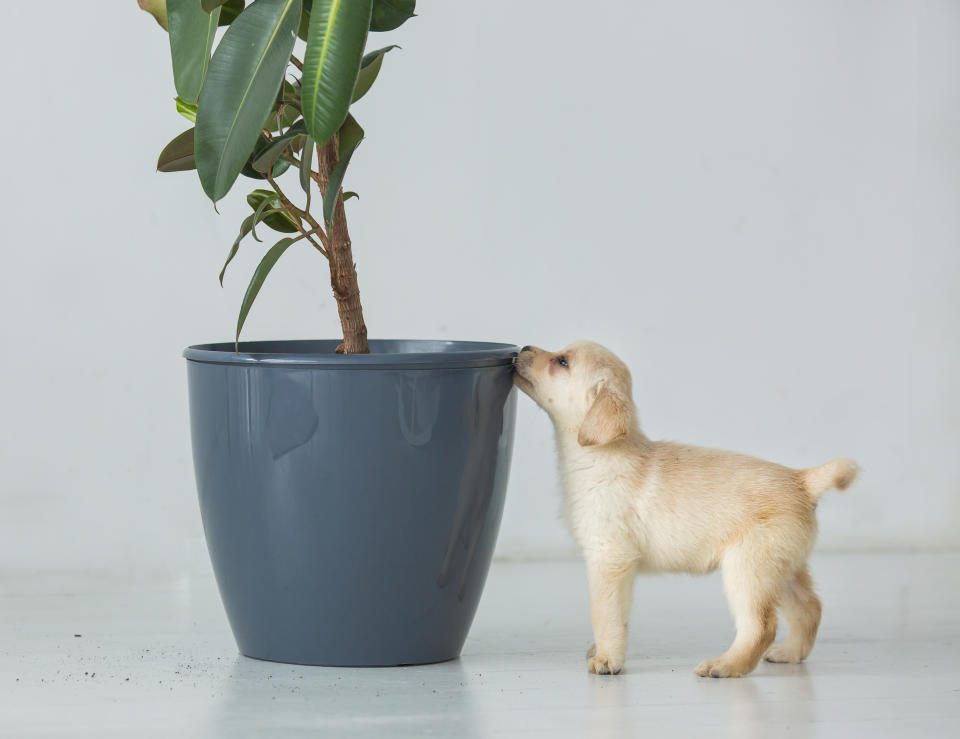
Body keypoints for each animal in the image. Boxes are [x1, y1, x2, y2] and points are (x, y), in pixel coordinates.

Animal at [512, 344, 860, 680]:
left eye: (562, 362)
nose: (522, 348)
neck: (601, 455)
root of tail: (802, 480)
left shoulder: (609, 559)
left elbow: (604, 615)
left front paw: (608, 659)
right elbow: (618, 616)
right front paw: (602, 651)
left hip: (748, 570)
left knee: (762, 625)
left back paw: (725, 666)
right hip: (781, 569)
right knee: (809, 607)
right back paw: (789, 653)